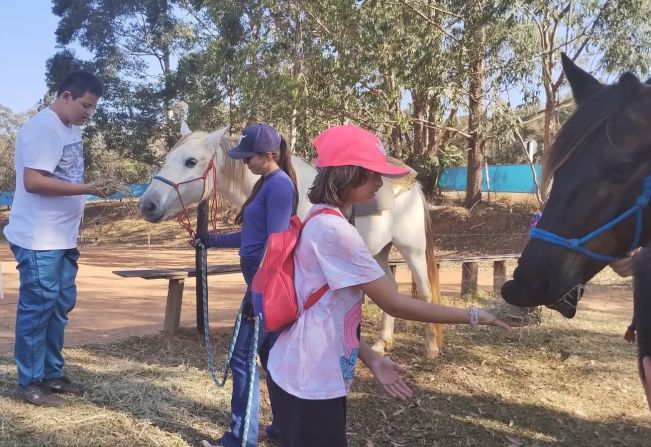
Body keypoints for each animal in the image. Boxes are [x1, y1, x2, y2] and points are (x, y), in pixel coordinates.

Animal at [138, 124, 444, 358]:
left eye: (190, 161)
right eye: (167, 158)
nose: (147, 204)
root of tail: (413, 185)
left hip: (413, 251)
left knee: (425, 292)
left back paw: (431, 348)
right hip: (378, 252)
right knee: (392, 290)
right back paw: (382, 343)